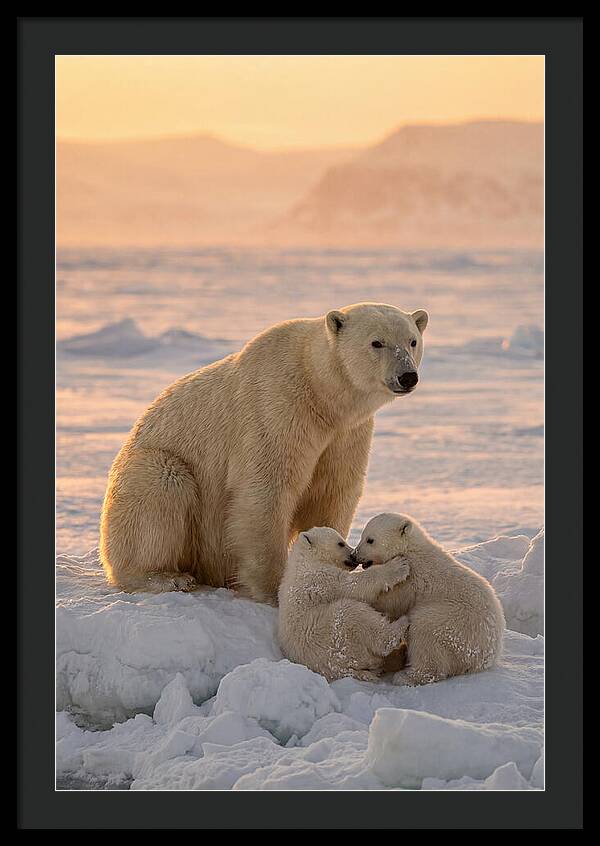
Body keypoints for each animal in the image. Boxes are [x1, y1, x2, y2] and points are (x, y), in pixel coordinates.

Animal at [99, 303, 428, 602]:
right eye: (377, 342)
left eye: (412, 340)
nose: (407, 376)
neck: (320, 393)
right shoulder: (277, 408)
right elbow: (266, 490)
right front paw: (274, 588)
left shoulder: (346, 434)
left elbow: (332, 490)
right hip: (150, 468)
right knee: (161, 487)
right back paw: (167, 577)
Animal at [277, 527, 412, 682]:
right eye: (340, 543)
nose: (353, 555)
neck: (305, 559)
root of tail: (341, 670)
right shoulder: (320, 578)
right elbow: (353, 585)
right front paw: (399, 565)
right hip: (333, 636)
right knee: (354, 615)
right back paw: (402, 623)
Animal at [353, 513, 505, 685]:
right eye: (362, 535)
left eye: (370, 540)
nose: (354, 555)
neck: (409, 549)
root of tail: (485, 658)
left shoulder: (410, 581)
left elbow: (390, 601)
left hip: (454, 625)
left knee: (424, 630)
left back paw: (405, 676)